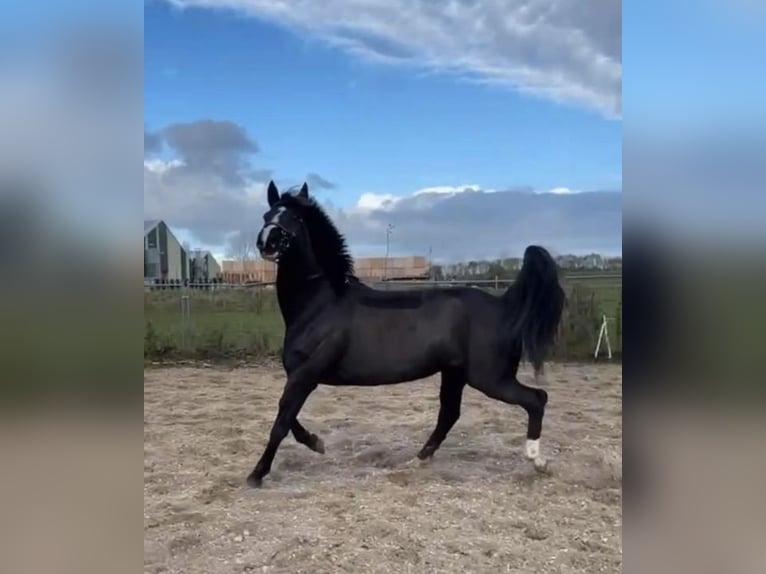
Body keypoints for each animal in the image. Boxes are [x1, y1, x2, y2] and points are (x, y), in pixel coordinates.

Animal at [249, 182, 568, 488]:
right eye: (266, 215)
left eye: (296, 218)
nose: (267, 242)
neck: (321, 305)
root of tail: (502, 306)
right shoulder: (299, 376)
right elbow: (288, 418)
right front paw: (317, 443)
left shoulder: (306, 375)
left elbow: (281, 421)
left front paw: (257, 474)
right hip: (456, 374)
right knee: (450, 414)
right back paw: (418, 459)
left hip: (490, 378)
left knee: (536, 399)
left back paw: (537, 461)